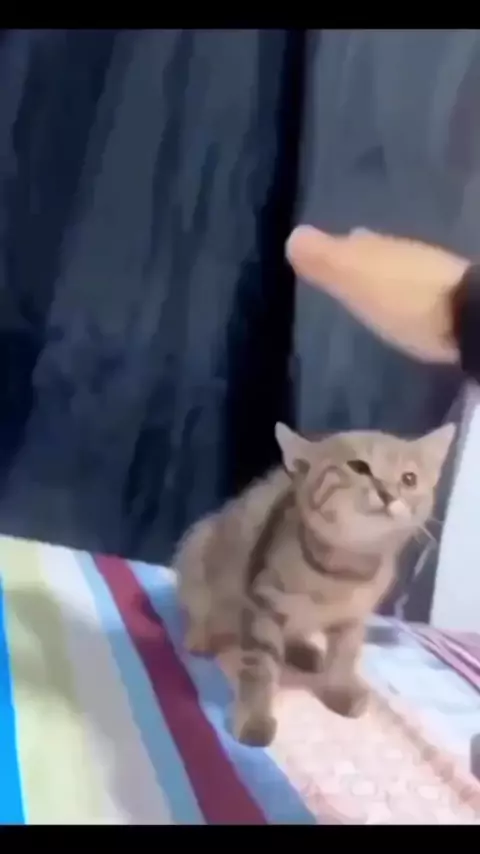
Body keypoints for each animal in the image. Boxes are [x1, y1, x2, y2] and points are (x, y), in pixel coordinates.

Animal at [174, 421, 455, 748]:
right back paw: (202, 636)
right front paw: (255, 716)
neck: (343, 572)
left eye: (409, 479)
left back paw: (304, 651)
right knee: (200, 611)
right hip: (199, 544)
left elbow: (344, 656)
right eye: (359, 467)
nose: (387, 493)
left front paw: (339, 689)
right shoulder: (263, 603)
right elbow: (260, 669)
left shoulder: (352, 617)